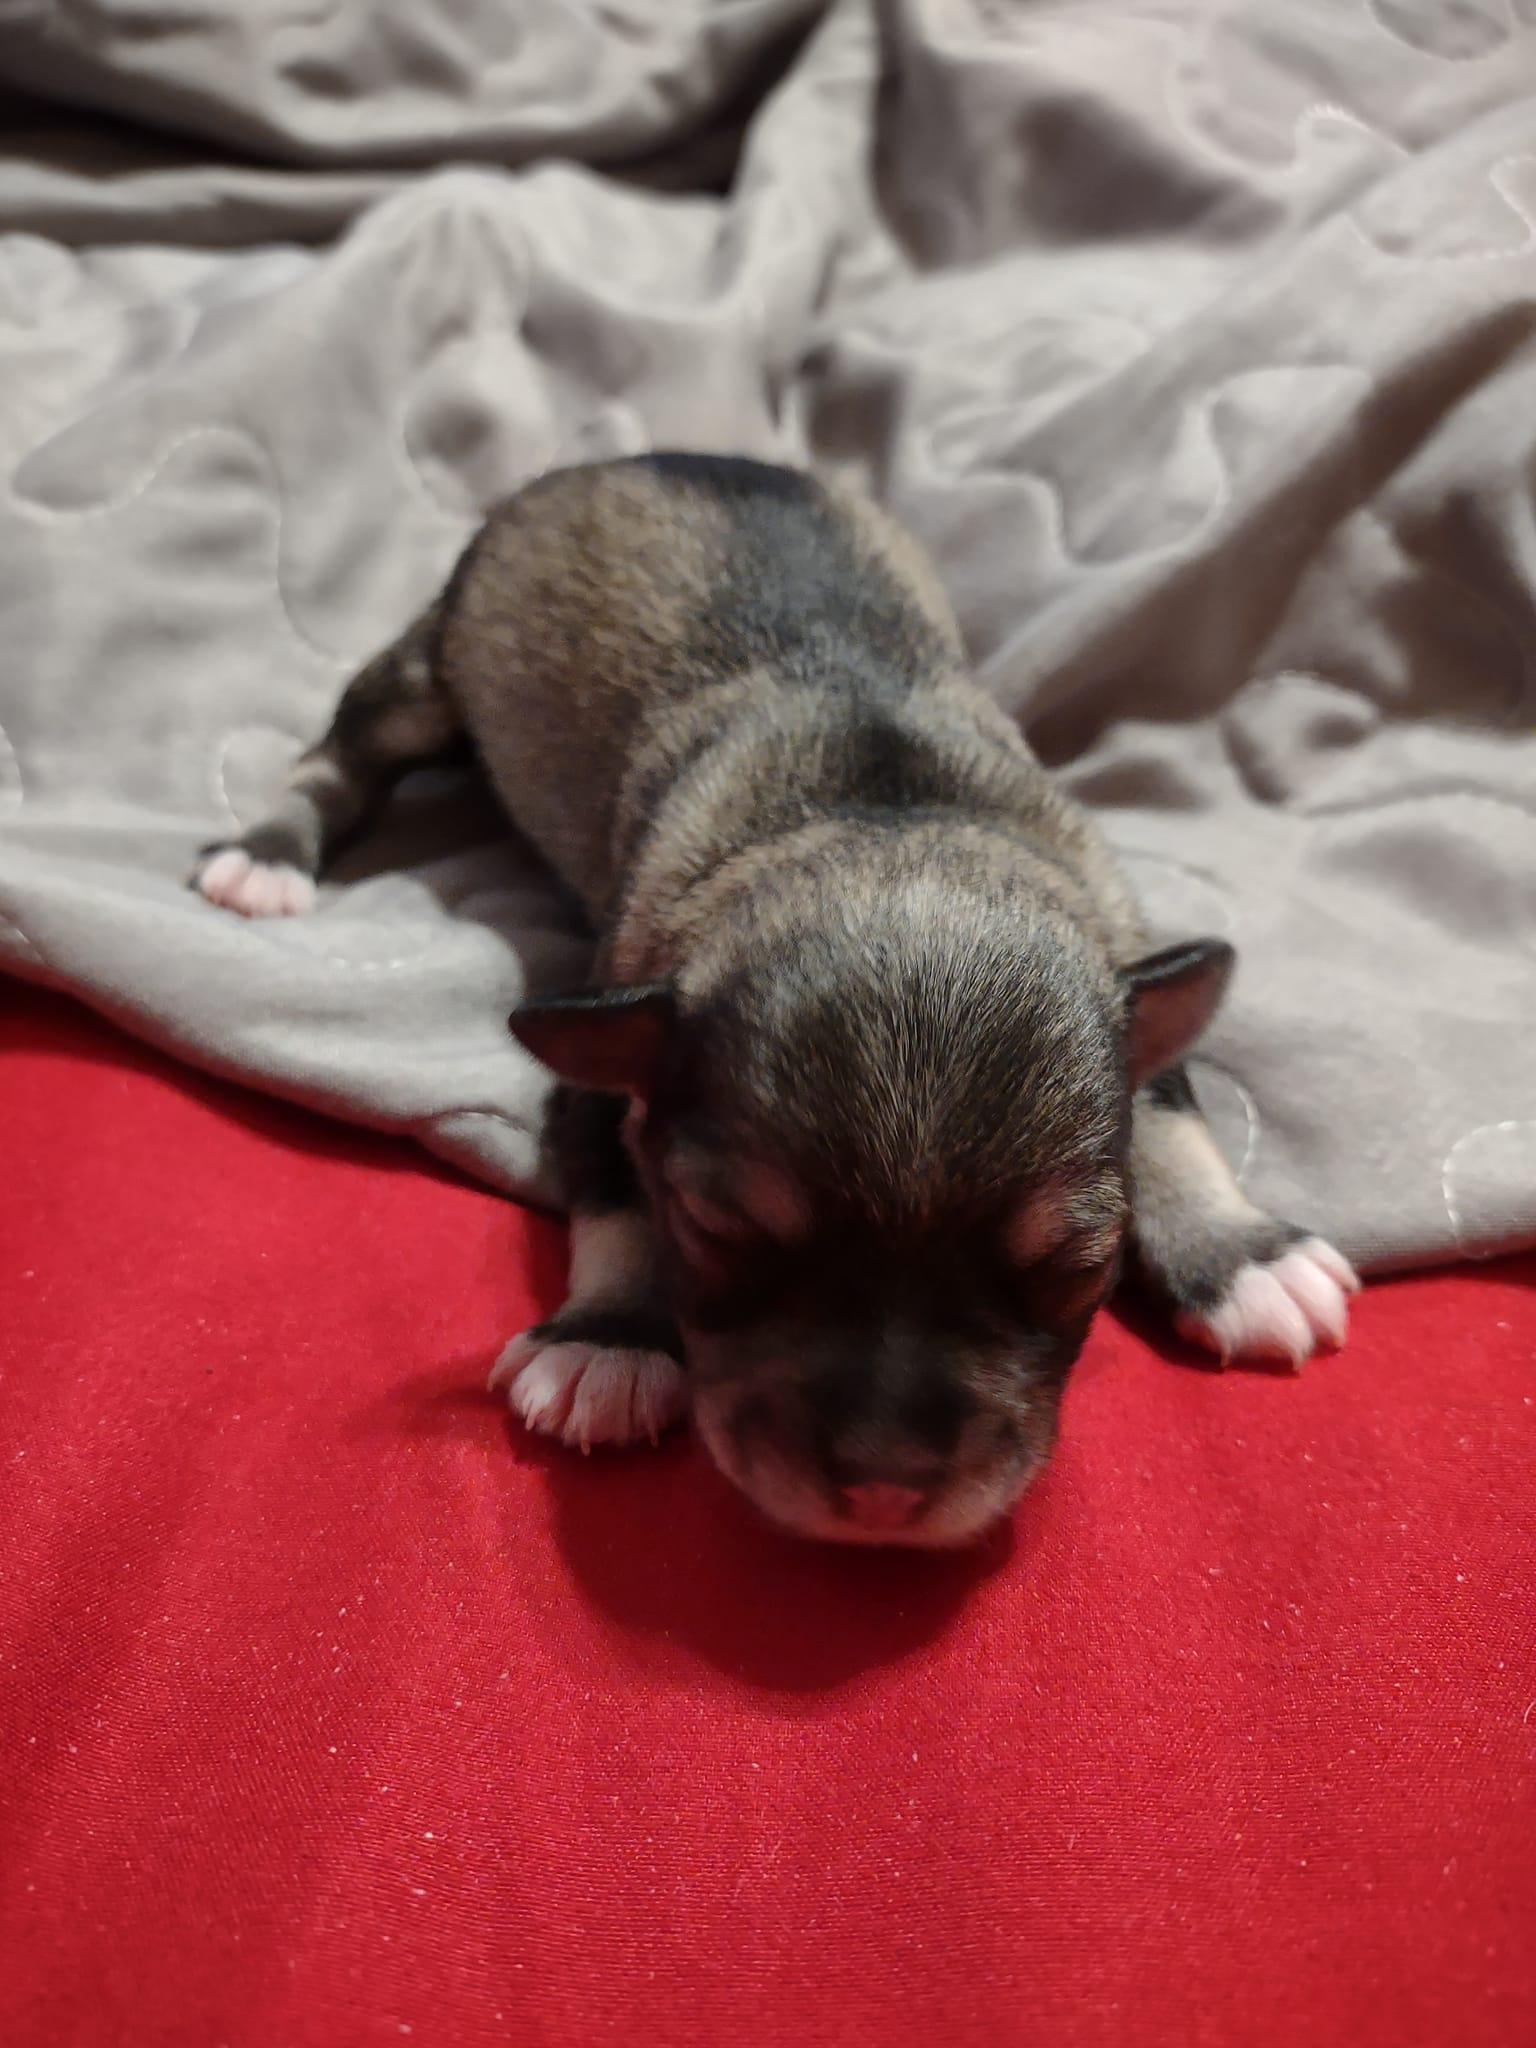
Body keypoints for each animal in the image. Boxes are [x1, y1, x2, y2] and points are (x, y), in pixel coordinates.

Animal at [195, 453, 1358, 1547]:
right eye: (719, 1227)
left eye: (1078, 1263)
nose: (885, 1488)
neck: (880, 814)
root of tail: (650, 452)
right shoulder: (603, 1052)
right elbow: (619, 1196)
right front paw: (610, 1338)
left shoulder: (1126, 968)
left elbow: (1169, 1116)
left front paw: (1240, 1254)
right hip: (435, 660)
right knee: (338, 756)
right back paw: (267, 856)